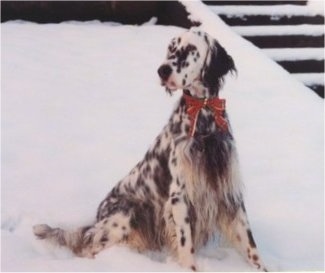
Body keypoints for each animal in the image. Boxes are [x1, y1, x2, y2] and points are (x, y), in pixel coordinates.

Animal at [33, 28, 266, 270]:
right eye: (171, 48)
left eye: (191, 49)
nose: (162, 70)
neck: (203, 118)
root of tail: (97, 216)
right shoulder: (179, 197)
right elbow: (186, 244)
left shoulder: (228, 191)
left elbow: (250, 245)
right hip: (126, 213)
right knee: (89, 247)